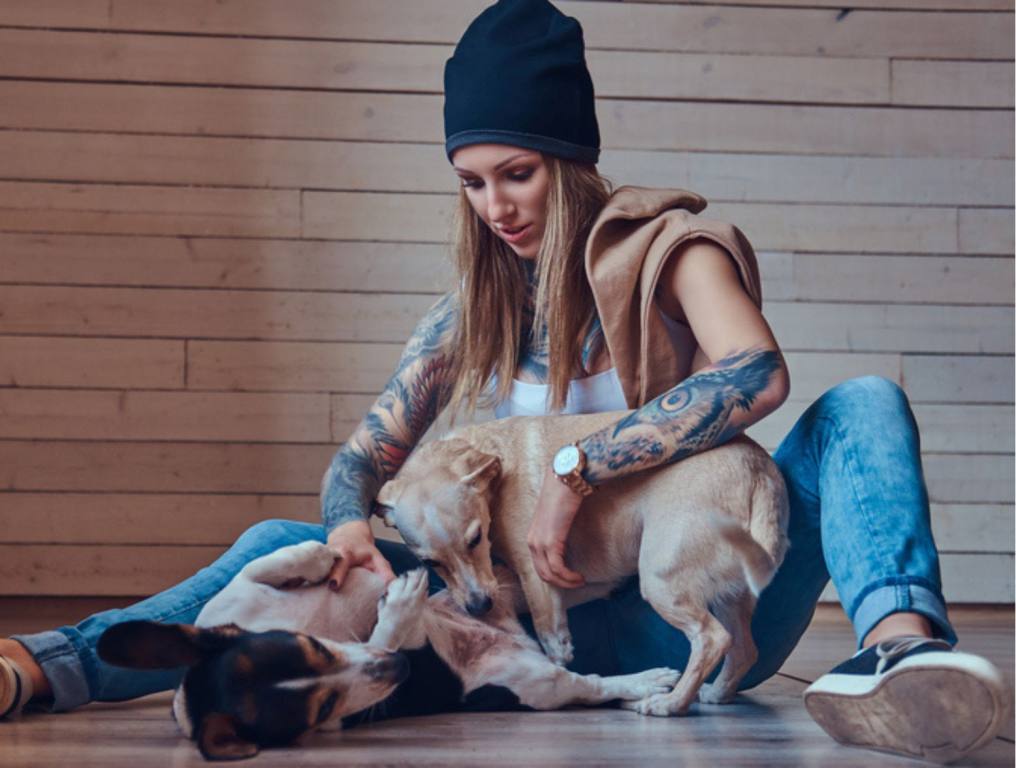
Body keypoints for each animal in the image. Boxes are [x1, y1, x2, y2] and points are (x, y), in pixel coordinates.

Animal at [97, 540, 682, 763]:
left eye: (311, 646)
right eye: (323, 706)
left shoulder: (232, 603)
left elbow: (271, 562)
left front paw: (322, 555)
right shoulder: (362, 686)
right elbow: (383, 637)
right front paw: (397, 608)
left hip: (485, 592)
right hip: (534, 680)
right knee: (589, 684)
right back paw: (648, 681)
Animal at [377, 410, 788, 715]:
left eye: (476, 539)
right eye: (430, 562)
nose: (478, 607)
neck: (496, 468)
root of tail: (759, 468)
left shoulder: (532, 565)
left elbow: (545, 618)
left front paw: (557, 649)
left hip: (661, 583)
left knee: (712, 639)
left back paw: (670, 703)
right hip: (729, 595)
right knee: (743, 648)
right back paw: (716, 694)